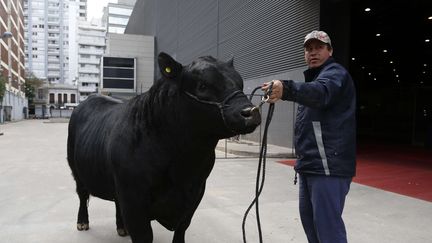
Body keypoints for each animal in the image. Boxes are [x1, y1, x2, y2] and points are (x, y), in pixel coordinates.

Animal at [66, 53, 262, 243]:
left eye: (240, 83)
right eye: (203, 85)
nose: (251, 112)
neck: (183, 164)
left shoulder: (196, 193)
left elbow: (182, 230)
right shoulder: (133, 198)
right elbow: (144, 235)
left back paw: (121, 228)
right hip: (76, 169)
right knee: (82, 194)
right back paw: (82, 222)